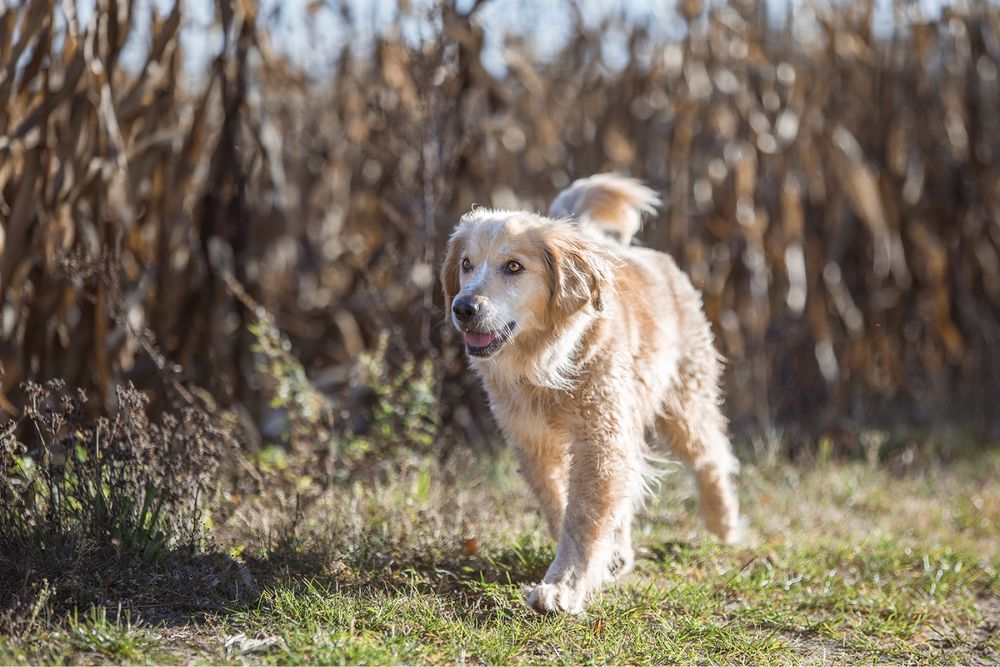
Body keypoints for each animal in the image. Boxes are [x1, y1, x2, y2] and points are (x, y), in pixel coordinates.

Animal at [440, 174, 744, 616]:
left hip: (685, 404)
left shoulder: (599, 439)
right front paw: (590, 564)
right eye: (466, 264)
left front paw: (562, 587)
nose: (462, 308)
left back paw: (724, 523)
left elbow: (583, 516)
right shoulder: (533, 443)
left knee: (712, 458)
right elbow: (561, 504)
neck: (543, 364)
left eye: (514, 266)